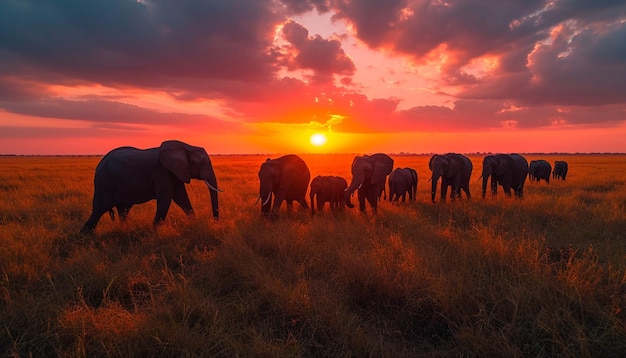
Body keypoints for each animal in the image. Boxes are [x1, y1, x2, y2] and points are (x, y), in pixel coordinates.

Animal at [80, 138, 219, 234]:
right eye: (202, 163)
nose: (216, 223)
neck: (186, 146)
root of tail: (99, 165)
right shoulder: (163, 172)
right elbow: (166, 199)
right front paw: (154, 233)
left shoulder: (175, 172)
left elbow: (181, 198)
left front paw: (194, 225)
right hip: (105, 183)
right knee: (99, 210)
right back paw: (85, 238)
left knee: (123, 210)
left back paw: (125, 230)